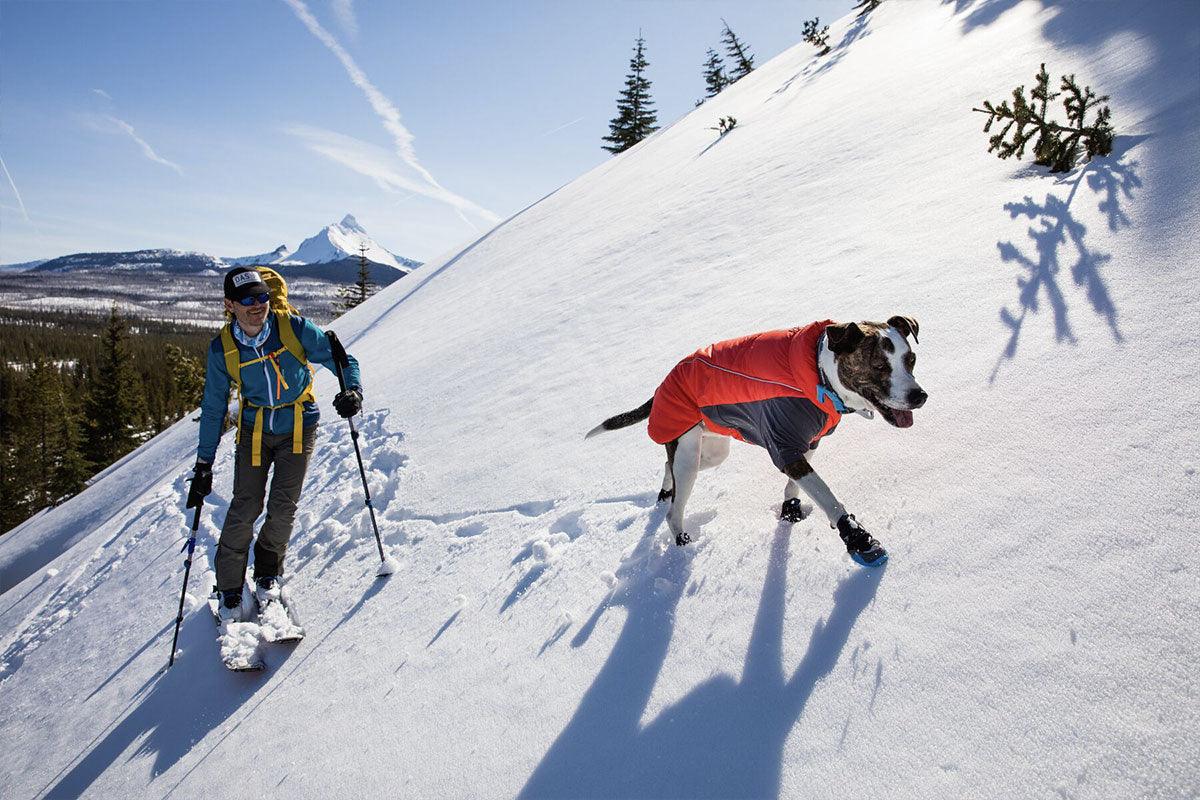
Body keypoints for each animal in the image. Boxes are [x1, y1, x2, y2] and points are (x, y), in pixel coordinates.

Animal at [585, 316, 921, 566]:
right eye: (879, 366)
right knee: (673, 509)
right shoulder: (784, 446)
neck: (818, 374)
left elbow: (799, 484)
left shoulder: (807, 443)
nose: (920, 396)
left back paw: (665, 490)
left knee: (668, 465)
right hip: (690, 456)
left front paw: (790, 508)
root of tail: (661, 388)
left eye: (911, 359)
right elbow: (827, 495)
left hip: (711, 450)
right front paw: (859, 540)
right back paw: (681, 539)